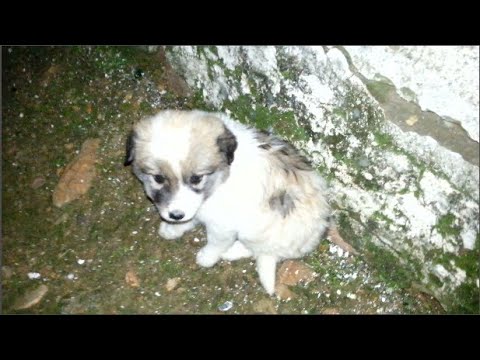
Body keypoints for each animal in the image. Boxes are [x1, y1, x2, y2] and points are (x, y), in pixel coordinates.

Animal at [124, 110, 330, 296]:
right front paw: (173, 228)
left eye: (197, 178)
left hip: (254, 231)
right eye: (158, 178)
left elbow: (216, 243)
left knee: (257, 250)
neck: (221, 177)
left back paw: (231, 252)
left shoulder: (222, 226)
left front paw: (207, 257)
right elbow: (191, 217)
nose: (175, 215)